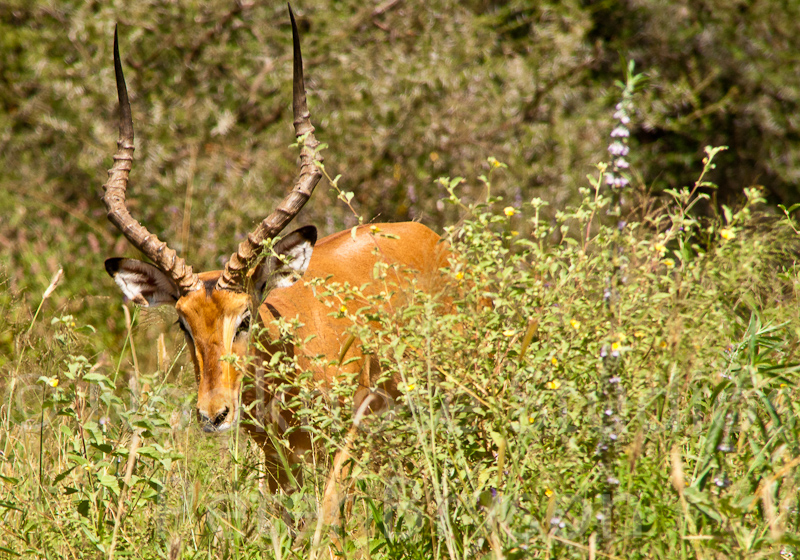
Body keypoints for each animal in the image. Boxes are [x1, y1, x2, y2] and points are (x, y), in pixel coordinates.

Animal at [102, 4, 450, 504]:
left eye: (245, 317)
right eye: (183, 324)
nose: (212, 414)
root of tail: (427, 235)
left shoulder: (346, 445)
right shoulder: (278, 464)